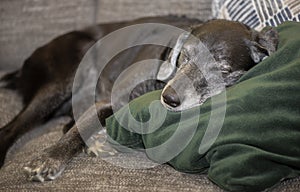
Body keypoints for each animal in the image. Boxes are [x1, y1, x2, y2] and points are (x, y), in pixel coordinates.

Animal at [0, 15, 278, 182]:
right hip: (64, 76)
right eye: (184, 57)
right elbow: (78, 129)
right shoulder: (109, 99)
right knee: (12, 129)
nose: (170, 99)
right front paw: (49, 158)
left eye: (222, 71)